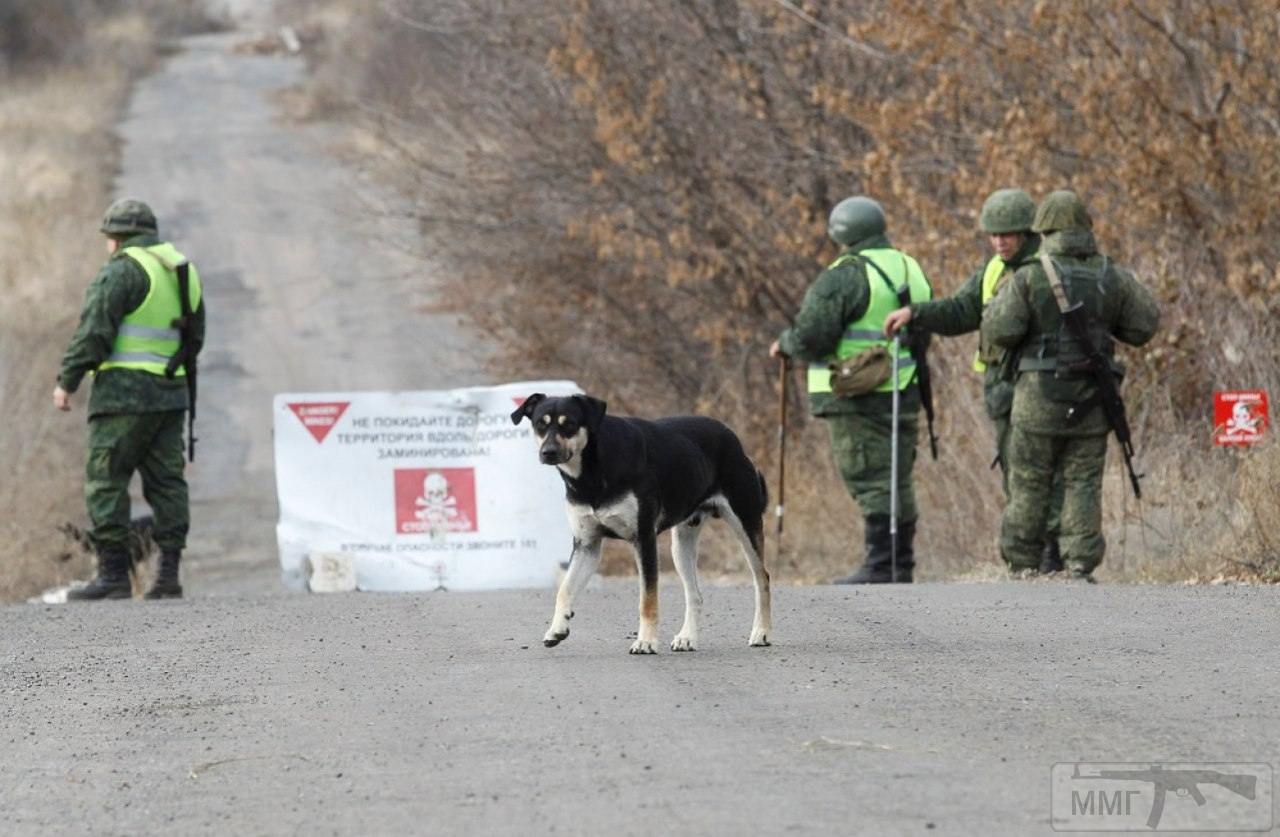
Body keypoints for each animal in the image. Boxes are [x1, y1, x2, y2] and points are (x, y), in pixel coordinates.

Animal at [509, 396, 768, 660]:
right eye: (540, 425)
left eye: (569, 424)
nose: (548, 452)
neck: (593, 469)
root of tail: (731, 437)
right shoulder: (587, 545)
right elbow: (565, 589)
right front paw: (557, 629)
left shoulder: (643, 539)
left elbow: (647, 600)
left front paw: (646, 642)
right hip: (681, 545)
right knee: (694, 594)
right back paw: (687, 638)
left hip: (745, 526)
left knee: (762, 579)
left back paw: (761, 633)